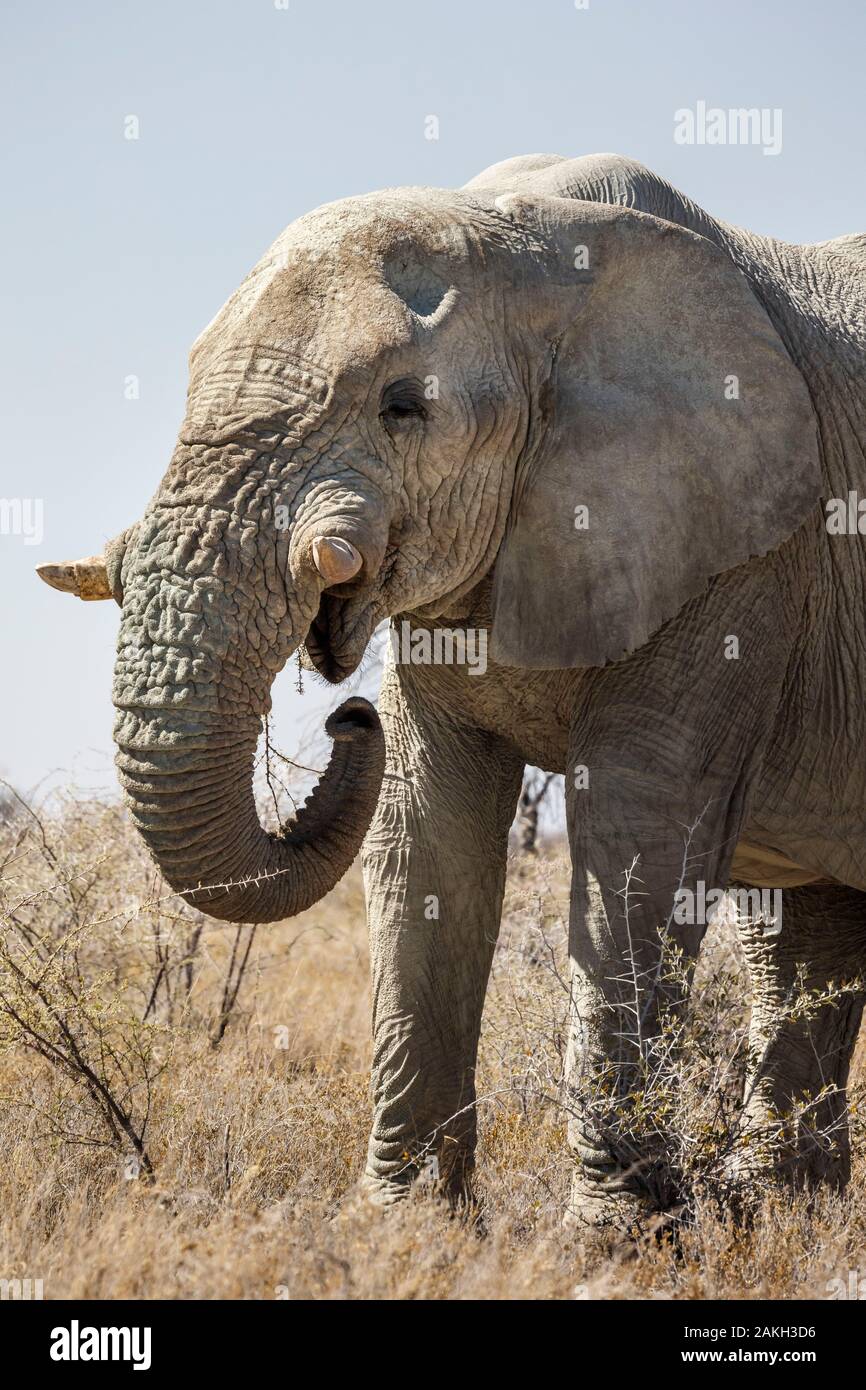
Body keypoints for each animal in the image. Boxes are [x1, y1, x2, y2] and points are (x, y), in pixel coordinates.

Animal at [38, 154, 866, 1228]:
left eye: (403, 406)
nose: (346, 713)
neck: (535, 250)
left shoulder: (748, 555)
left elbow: (639, 828)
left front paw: (615, 1239)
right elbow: (426, 824)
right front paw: (411, 1224)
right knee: (804, 929)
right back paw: (781, 1214)